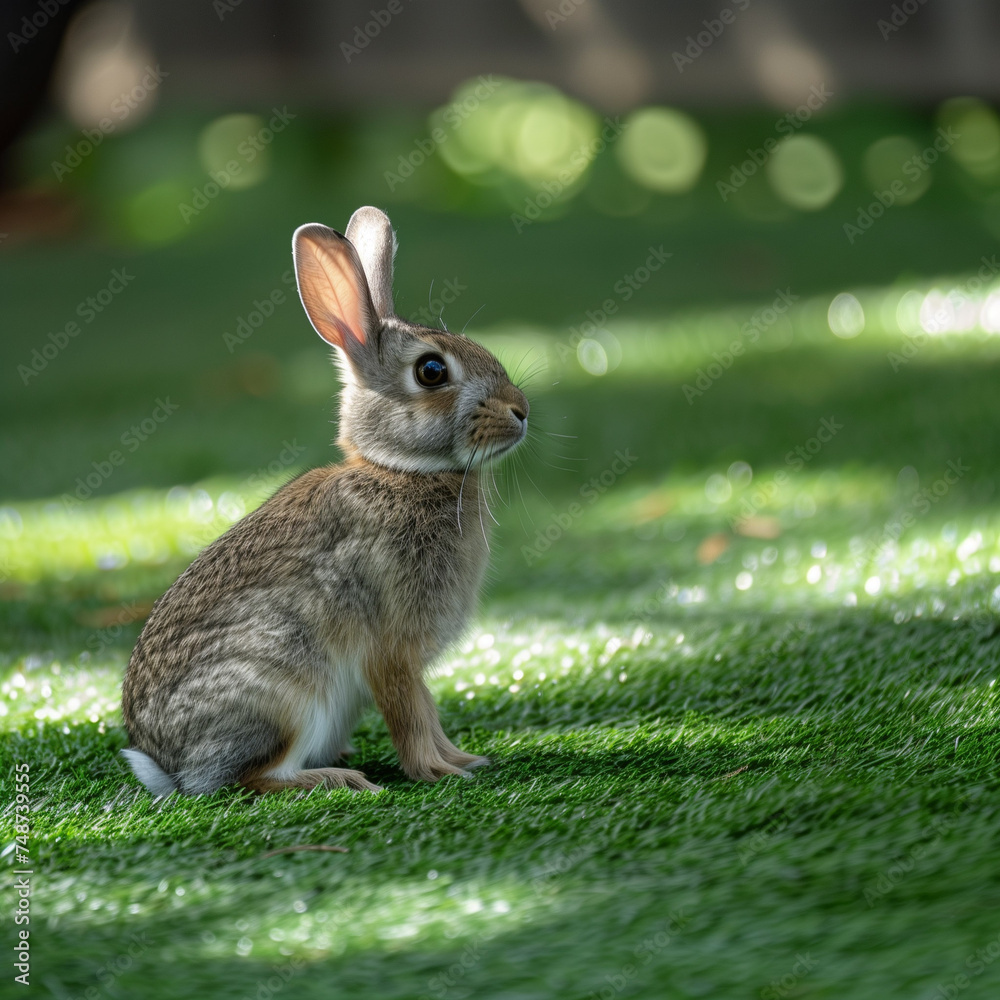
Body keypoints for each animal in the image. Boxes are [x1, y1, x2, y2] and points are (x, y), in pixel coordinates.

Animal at [121, 206, 529, 795]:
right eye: (432, 371)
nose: (521, 410)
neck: (398, 471)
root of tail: (165, 767)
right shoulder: (391, 647)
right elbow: (410, 713)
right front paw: (438, 771)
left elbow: (427, 710)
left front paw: (464, 760)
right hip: (285, 681)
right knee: (253, 778)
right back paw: (340, 778)